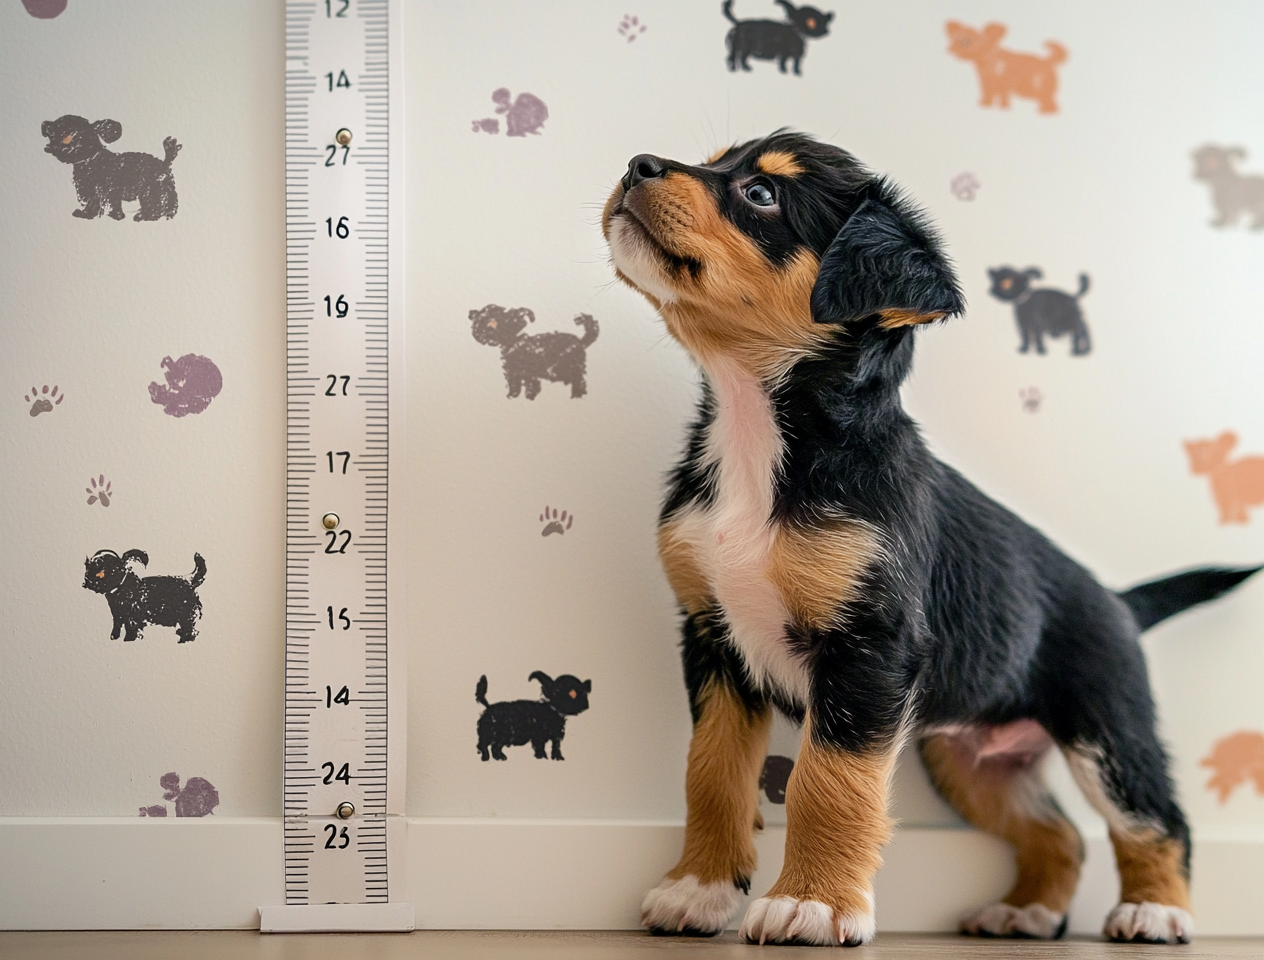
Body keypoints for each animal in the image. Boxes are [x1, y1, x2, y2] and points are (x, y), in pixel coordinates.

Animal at [41, 115, 180, 222]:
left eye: (69, 136)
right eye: (51, 134)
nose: (50, 146)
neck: (90, 160)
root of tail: (164, 163)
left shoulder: (106, 190)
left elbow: (107, 204)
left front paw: (114, 216)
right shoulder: (93, 192)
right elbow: (94, 205)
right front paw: (86, 214)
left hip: (151, 190)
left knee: (155, 205)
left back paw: (144, 217)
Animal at [601, 129, 1253, 946]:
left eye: (761, 194)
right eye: (716, 161)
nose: (637, 165)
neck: (760, 437)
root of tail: (1118, 598)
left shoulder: (868, 653)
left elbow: (827, 784)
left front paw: (813, 904)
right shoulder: (713, 640)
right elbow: (711, 774)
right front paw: (700, 890)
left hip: (1106, 728)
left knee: (1154, 817)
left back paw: (1154, 911)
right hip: (968, 759)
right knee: (1058, 834)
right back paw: (1025, 911)